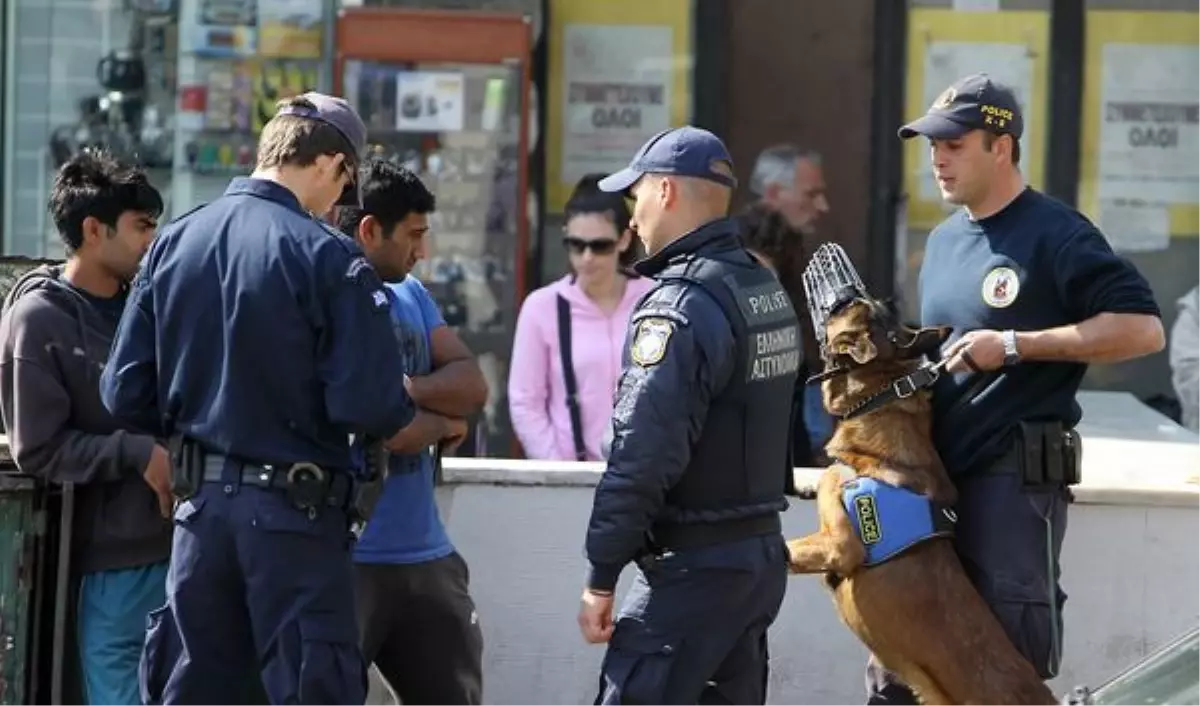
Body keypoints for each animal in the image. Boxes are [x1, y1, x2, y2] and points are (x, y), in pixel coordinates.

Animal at [782, 297, 1056, 706]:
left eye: (852, 309)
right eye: (871, 305)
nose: (843, 297)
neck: (881, 398)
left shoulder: (839, 545)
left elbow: (787, 547)